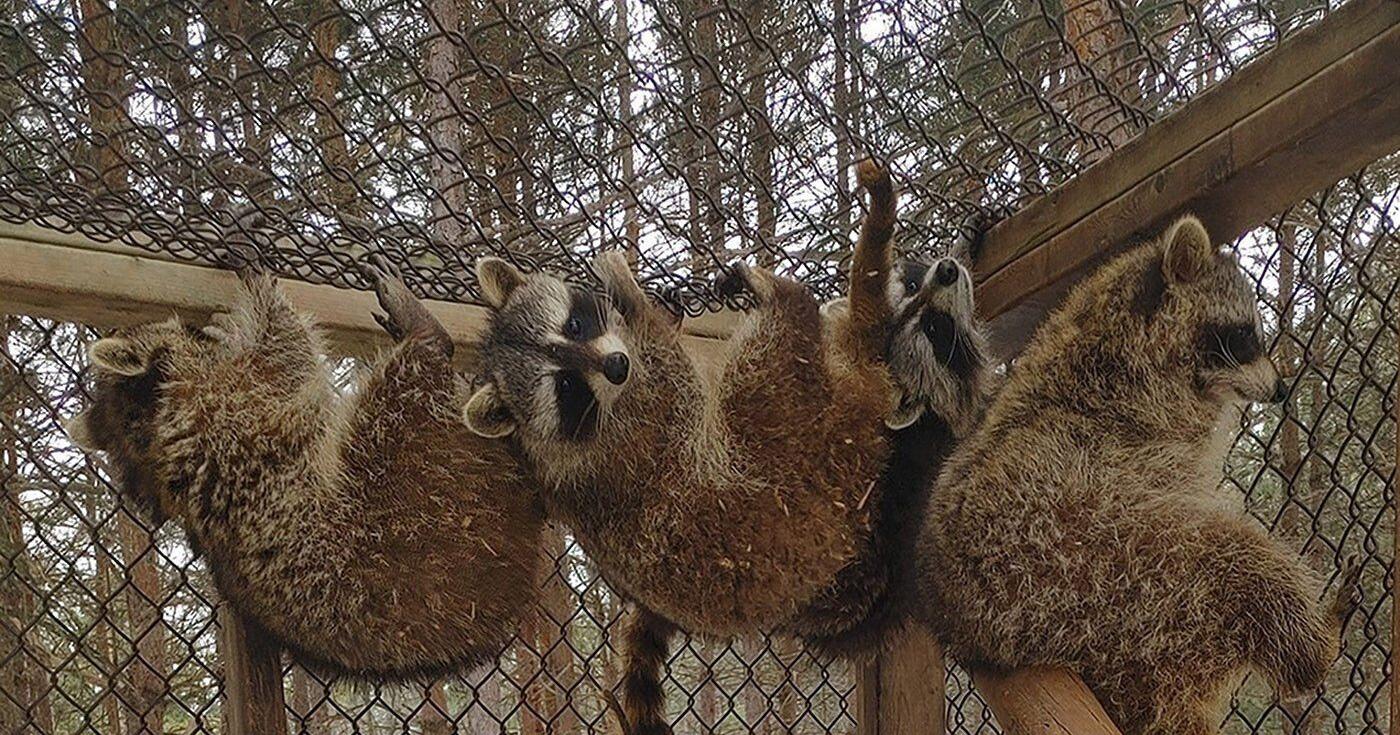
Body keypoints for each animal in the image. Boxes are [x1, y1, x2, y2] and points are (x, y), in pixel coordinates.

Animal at [66, 261, 545, 680]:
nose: (201, 329)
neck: (146, 433)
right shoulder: (230, 411)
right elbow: (284, 348)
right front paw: (255, 276)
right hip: (410, 491)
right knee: (394, 397)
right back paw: (426, 336)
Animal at [914, 216, 1361, 735]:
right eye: (1244, 336)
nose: (1280, 390)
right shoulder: (1138, 407)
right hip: (1091, 566)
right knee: (1236, 556)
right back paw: (1314, 649)